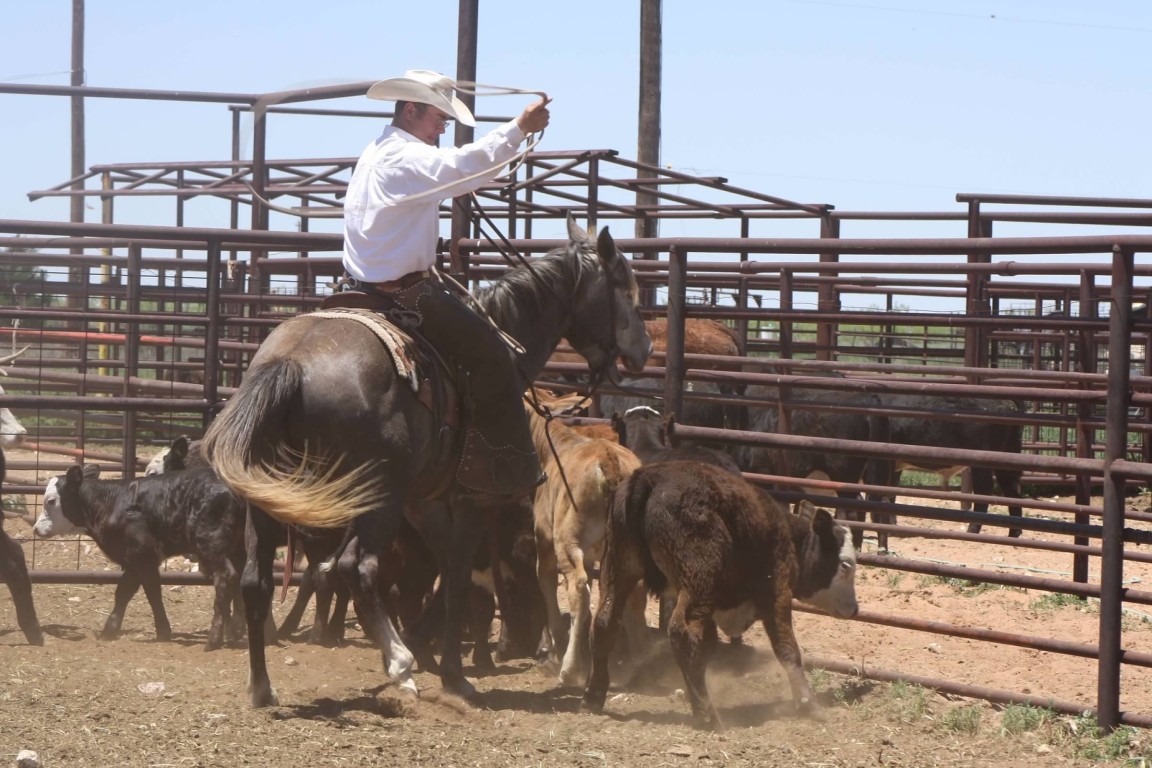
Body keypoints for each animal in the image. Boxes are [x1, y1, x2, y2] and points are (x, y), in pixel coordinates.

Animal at [202, 217, 653, 707]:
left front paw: (431, 649)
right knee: (354, 566)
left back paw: (262, 687)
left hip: (268, 498)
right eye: (626, 288)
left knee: (255, 581)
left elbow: (451, 572)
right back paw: (400, 664)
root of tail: (290, 365)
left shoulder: (426, 502)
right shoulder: (470, 500)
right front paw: (451, 672)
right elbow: (457, 577)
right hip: (377, 497)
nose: (646, 349)